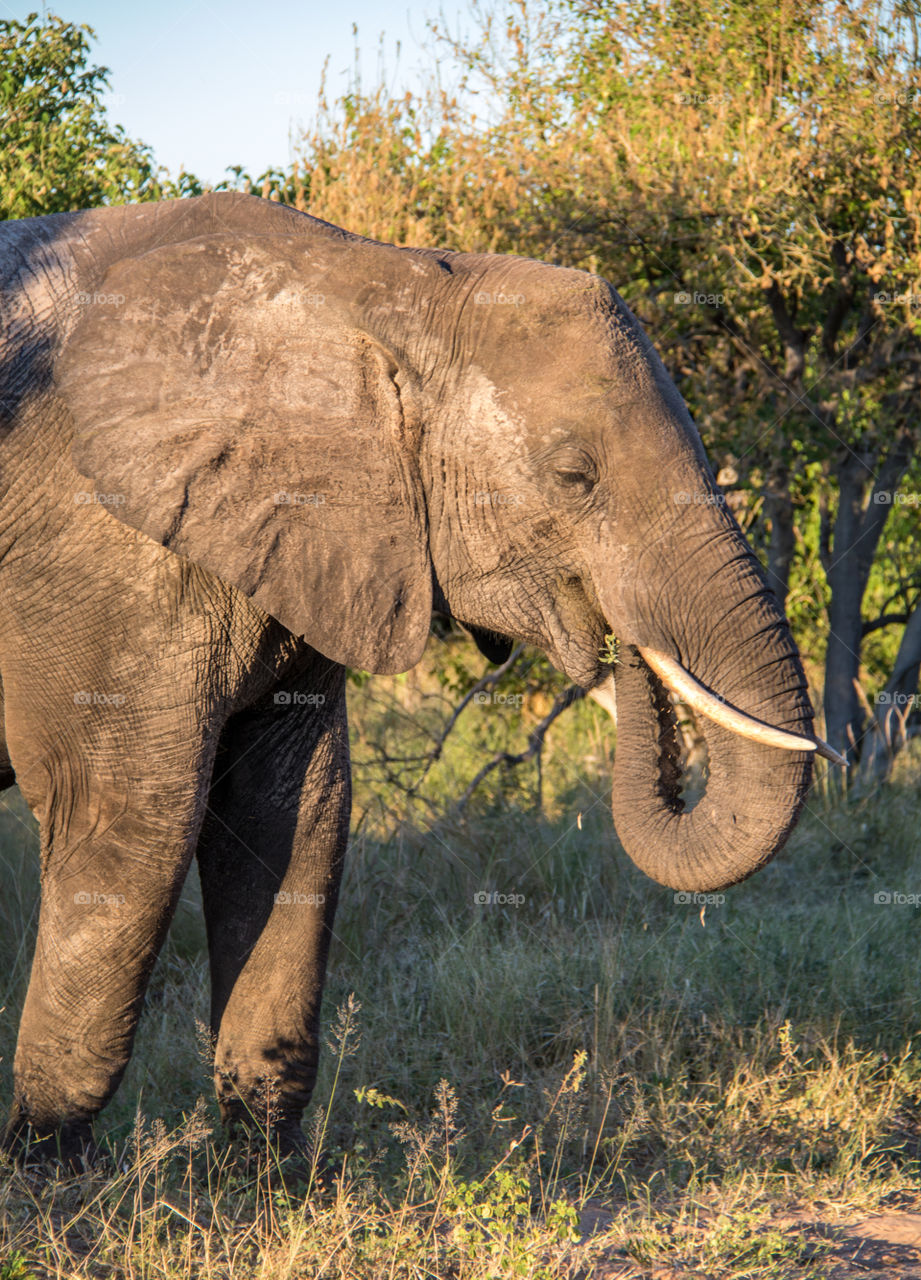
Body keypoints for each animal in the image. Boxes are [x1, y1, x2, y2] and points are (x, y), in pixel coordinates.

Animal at [0, 192, 841, 1164]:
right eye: (574, 476)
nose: (616, 642)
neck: (381, 286)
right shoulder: (99, 555)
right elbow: (132, 821)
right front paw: (45, 1173)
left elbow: (295, 811)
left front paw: (266, 1181)